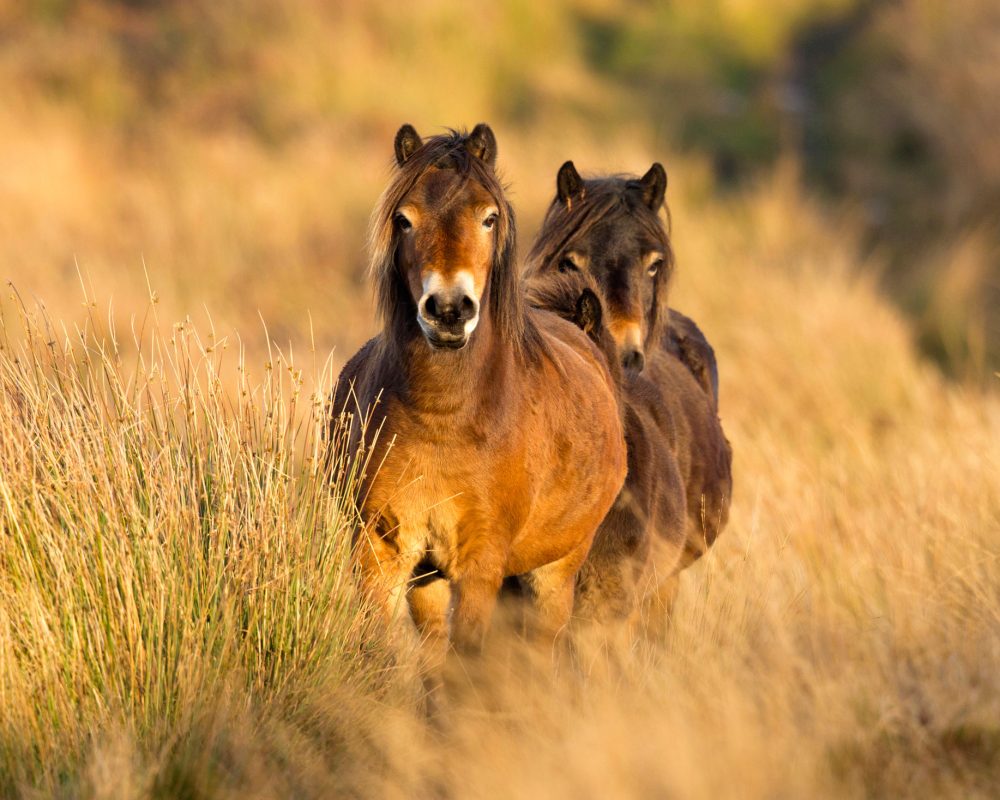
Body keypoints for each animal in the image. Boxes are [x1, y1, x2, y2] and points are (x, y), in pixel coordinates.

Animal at [332, 125, 627, 667]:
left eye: (489, 217)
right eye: (404, 219)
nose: (449, 310)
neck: (443, 418)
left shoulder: (481, 563)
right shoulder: (383, 552)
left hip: (555, 571)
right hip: (428, 579)